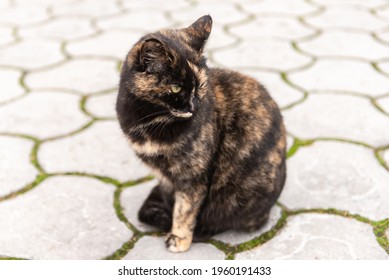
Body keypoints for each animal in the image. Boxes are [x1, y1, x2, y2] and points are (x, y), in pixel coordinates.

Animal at [115, 14, 284, 253]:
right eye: (176, 88)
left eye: (201, 85)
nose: (194, 107)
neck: (149, 120)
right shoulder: (164, 176)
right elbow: (172, 200)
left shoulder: (193, 175)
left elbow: (185, 208)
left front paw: (179, 237)